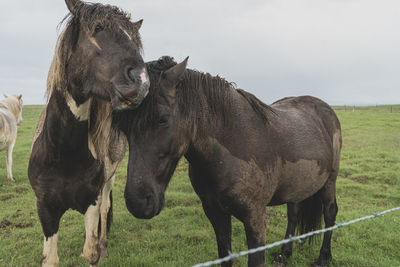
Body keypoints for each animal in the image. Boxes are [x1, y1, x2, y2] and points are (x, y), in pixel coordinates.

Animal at [28, 1, 149, 266]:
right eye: (98, 28)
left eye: (135, 39)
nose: (142, 80)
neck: (62, 154)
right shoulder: (45, 208)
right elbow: (50, 258)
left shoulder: (91, 202)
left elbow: (91, 250)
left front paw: (98, 250)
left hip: (109, 180)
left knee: (105, 208)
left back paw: (104, 246)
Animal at [119, 57, 340, 266]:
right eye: (123, 125)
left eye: (163, 119)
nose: (138, 202)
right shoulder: (216, 214)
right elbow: (225, 256)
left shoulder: (255, 219)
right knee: (293, 213)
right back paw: (284, 254)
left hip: (329, 182)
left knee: (330, 213)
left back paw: (323, 257)